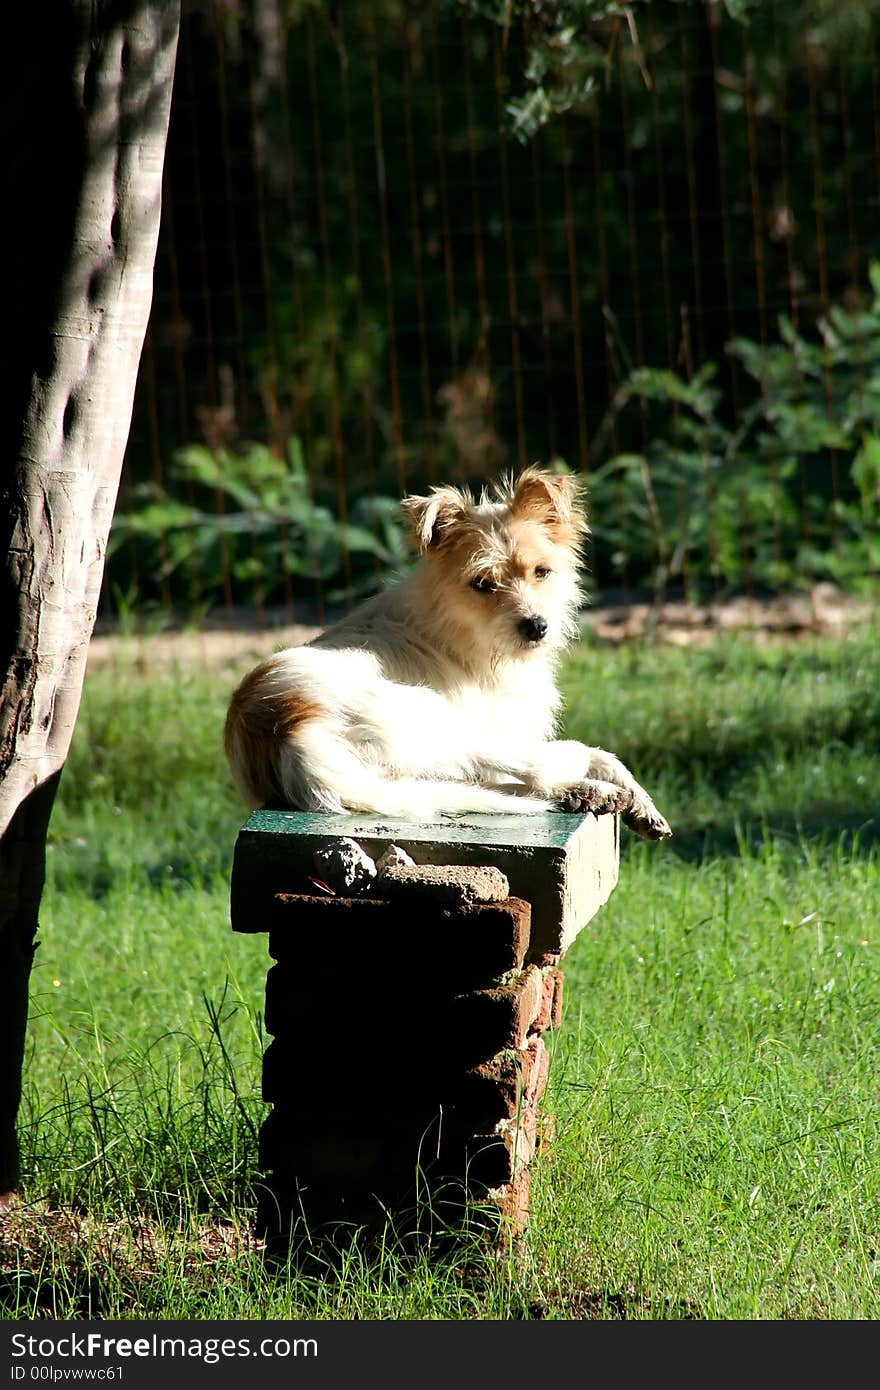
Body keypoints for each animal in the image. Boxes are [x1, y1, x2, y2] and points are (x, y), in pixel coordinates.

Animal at [222, 467, 670, 834]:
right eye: (482, 584)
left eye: (542, 572)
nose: (536, 627)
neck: (451, 625)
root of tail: (284, 728)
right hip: (448, 725)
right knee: (550, 763)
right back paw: (588, 788)